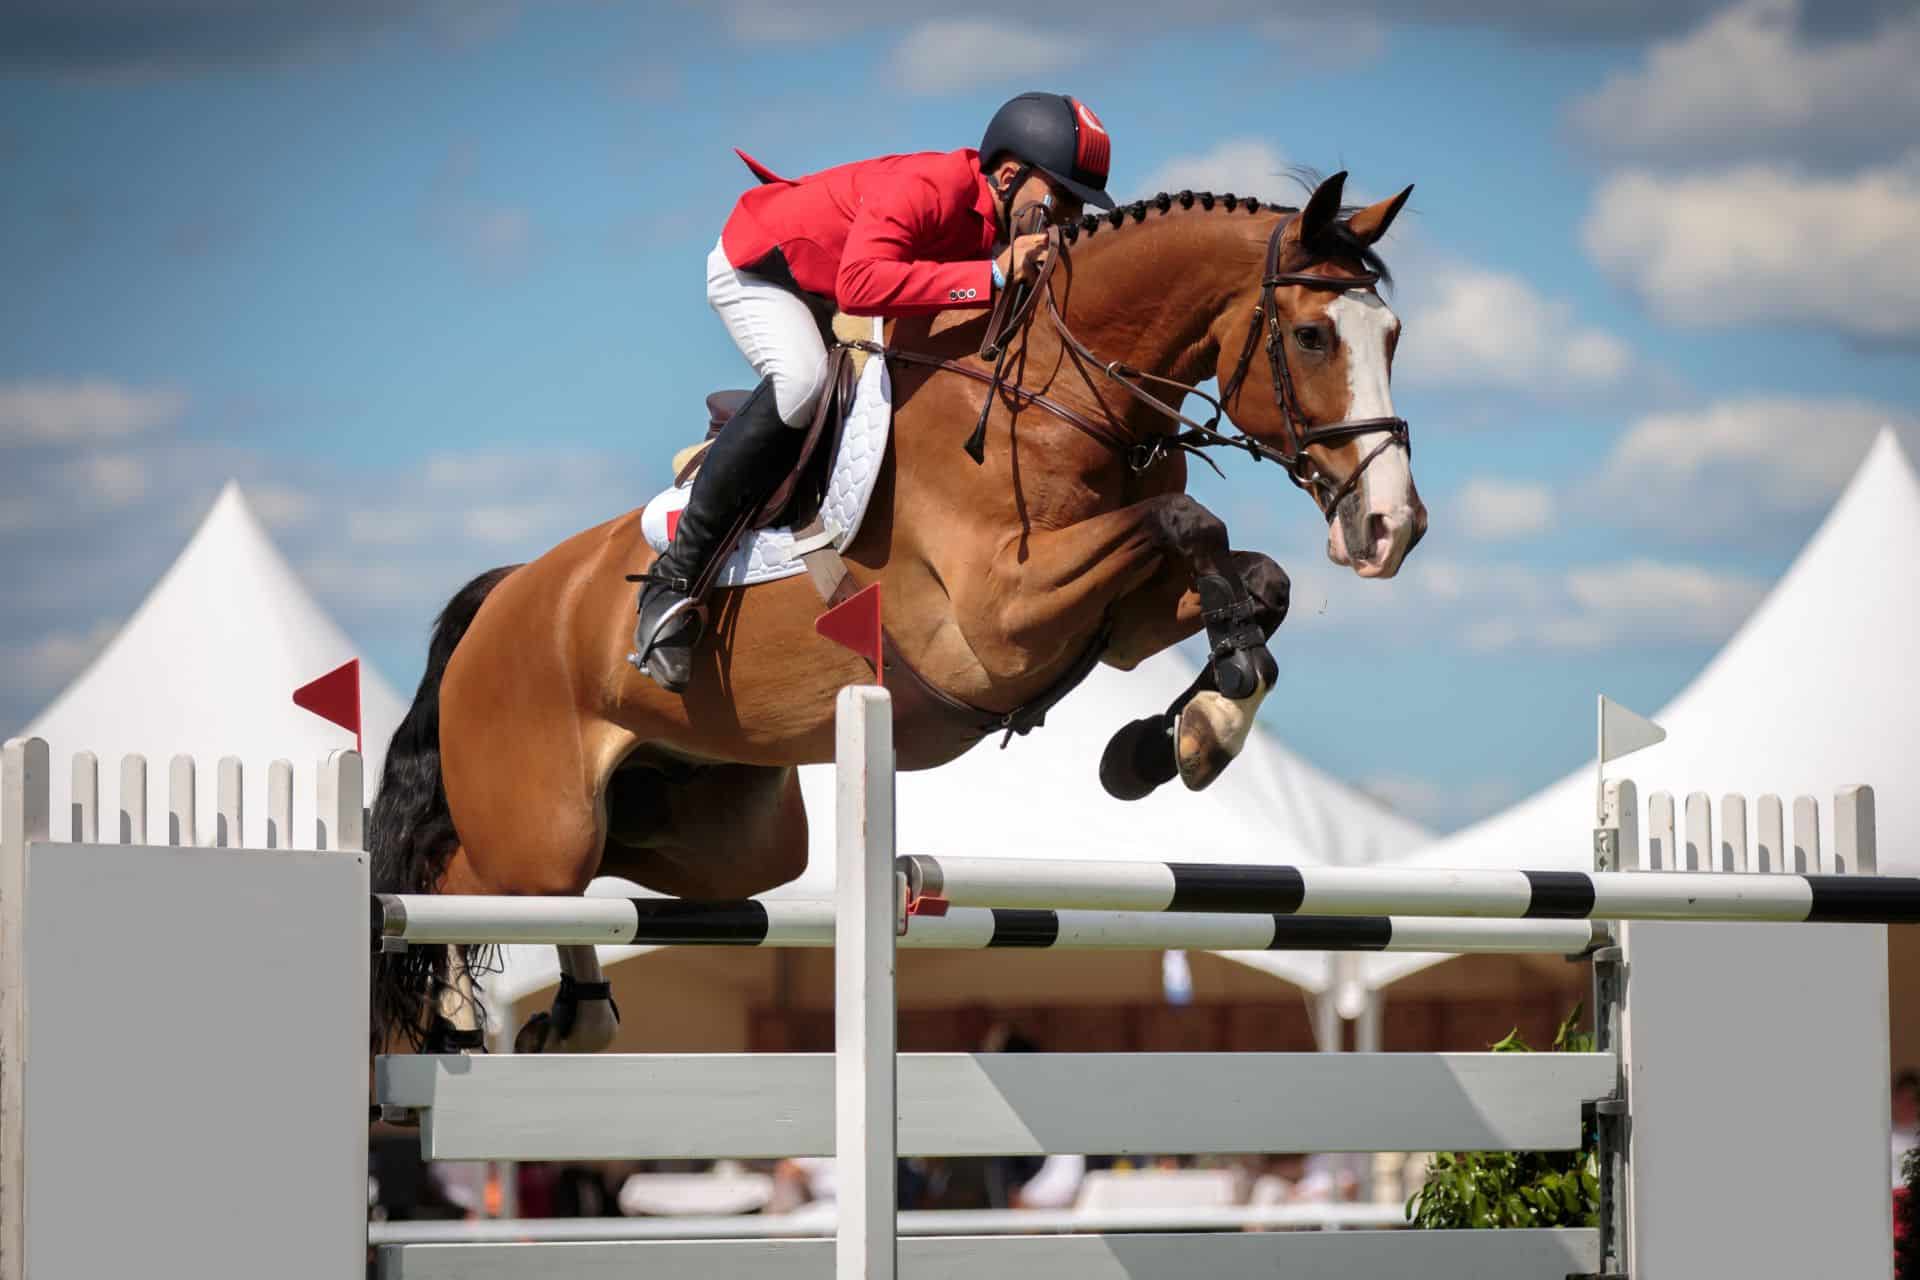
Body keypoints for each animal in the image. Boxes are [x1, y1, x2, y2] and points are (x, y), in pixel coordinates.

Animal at [369, 171, 1426, 1053]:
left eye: (1394, 338)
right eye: (1314, 336)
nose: (1392, 528)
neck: (1056, 398)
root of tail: (507, 594)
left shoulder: (1120, 626)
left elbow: (1254, 580)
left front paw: (1180, 735)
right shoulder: (1000, 622)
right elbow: (1192, 519)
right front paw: (1192, 725)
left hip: (720, 840)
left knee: (590, 884)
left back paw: (578, 1015)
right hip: (537, 828)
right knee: (442, 886)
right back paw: (453, 1011)